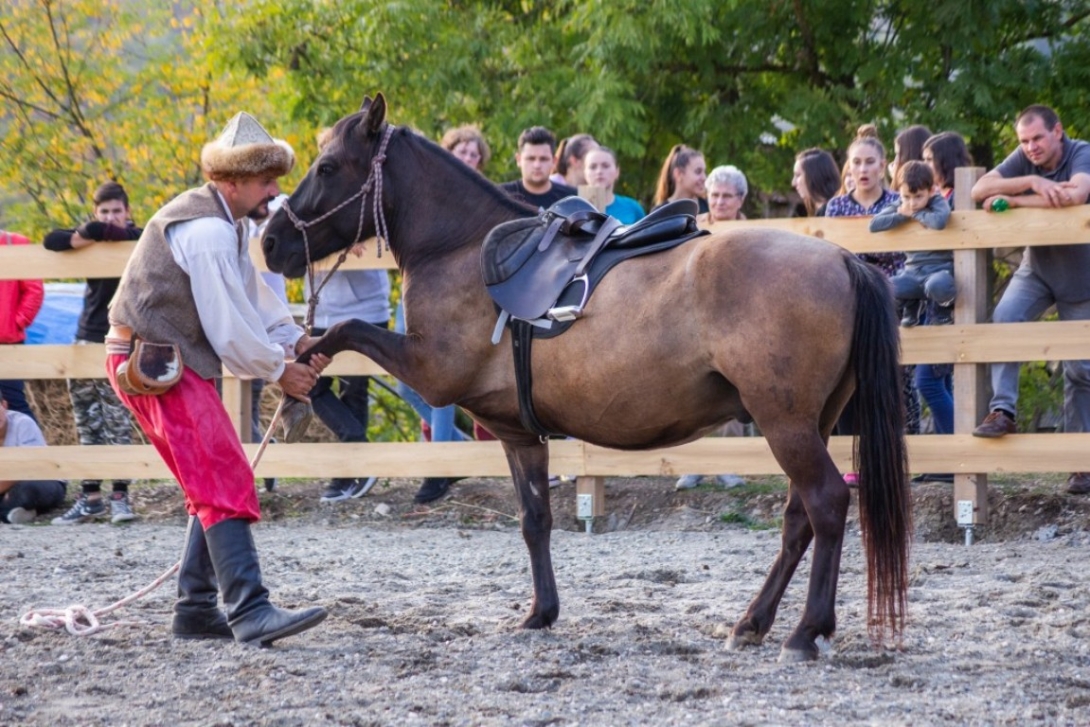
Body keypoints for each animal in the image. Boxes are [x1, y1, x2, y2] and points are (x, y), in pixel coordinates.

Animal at [263, 93, 911, 662]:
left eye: (327, 166)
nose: (270, 242)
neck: (462, 251)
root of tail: (843, 259)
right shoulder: (517, 434)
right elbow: (535, 521)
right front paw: (539, 613)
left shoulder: (431, 371)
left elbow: (343, 330)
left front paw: (299, 392)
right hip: (810, 424)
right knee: (799, 519)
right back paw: (752, 623)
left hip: (786, 425)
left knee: (826, 504)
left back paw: (805, 632)